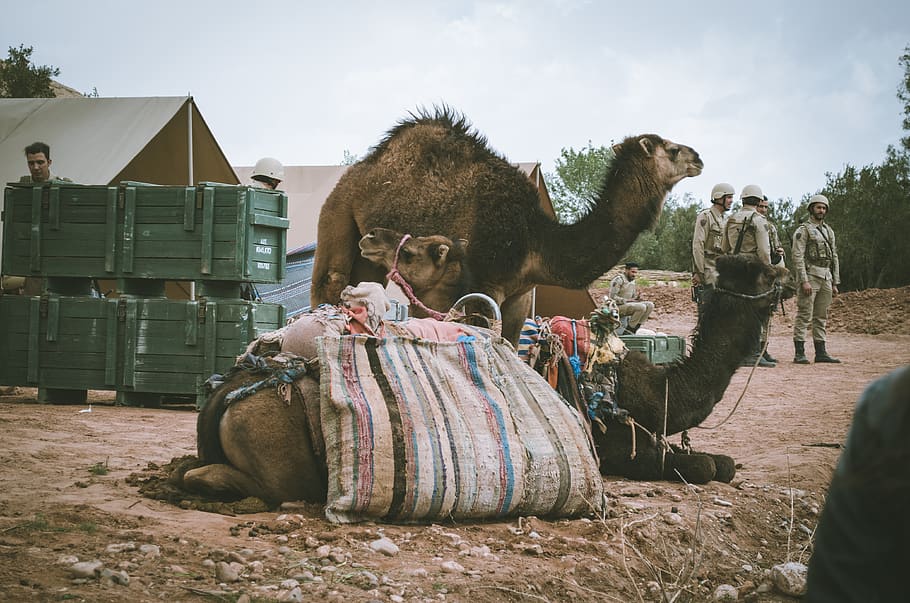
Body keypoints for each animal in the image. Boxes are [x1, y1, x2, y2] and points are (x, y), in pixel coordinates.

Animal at [311, 106, 703, 344]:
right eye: (671, 149)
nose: (698, 157)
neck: (536, 240)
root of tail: (361, 170)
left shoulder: (521, 294)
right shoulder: (484, 287)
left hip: (368, 252)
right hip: (335, 214)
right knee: (328, 283)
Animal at [548, 254, 794, 483]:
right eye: (768, 274)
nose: (791, 278)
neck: (659, 393)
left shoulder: (657, 438)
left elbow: (726, 464)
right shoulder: (616, 449)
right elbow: (705, 466)